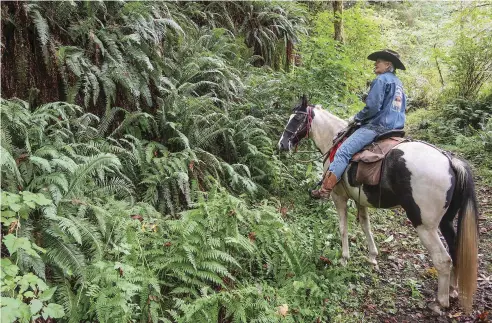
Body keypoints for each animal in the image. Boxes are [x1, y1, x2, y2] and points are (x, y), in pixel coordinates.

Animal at [278, 95, 478, 314]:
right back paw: (453, 290)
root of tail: (450, 162)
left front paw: (344, 259)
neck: (335, 142)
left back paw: (440, 302)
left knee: (443, 260)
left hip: (425, 225)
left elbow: (343, 228)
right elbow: (366, 225)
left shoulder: (339, 197)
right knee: (455, 249)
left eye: (297, 118)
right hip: (446, 221)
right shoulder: (360, 198)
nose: (282, 144)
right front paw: (373, 257)